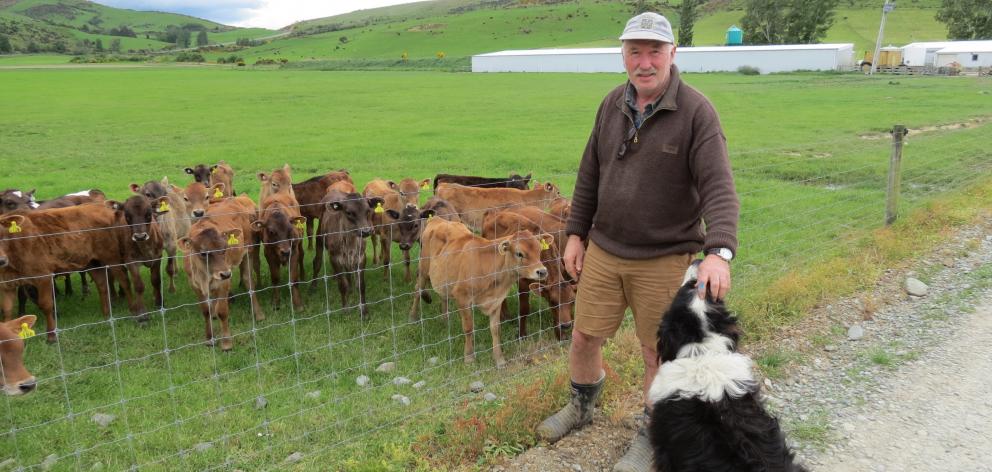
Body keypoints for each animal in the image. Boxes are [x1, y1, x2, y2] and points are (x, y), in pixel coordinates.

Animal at [178, 195, 264, 350]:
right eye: (203, 253)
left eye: (224, 249)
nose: (225, 274)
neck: (204, 275)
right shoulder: (194, 285)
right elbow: (205, 311)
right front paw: (209, 338)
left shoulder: (224, 282)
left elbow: (222, 311)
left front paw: (226, 342)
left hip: (248, 251)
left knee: (248, 280)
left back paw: (259, 314)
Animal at [410, 218, 552, 368]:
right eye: (519, 253)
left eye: (539, 250)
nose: (542, 271)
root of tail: (438, 219)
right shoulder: (462, 297)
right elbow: (468, 328)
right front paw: (469, 357)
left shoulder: (497, 300)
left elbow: (496, 329)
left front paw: (499, 359)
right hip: (423, 268)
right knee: (417, 290)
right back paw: (413, 317)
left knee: (443, 296)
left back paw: (445, 320)